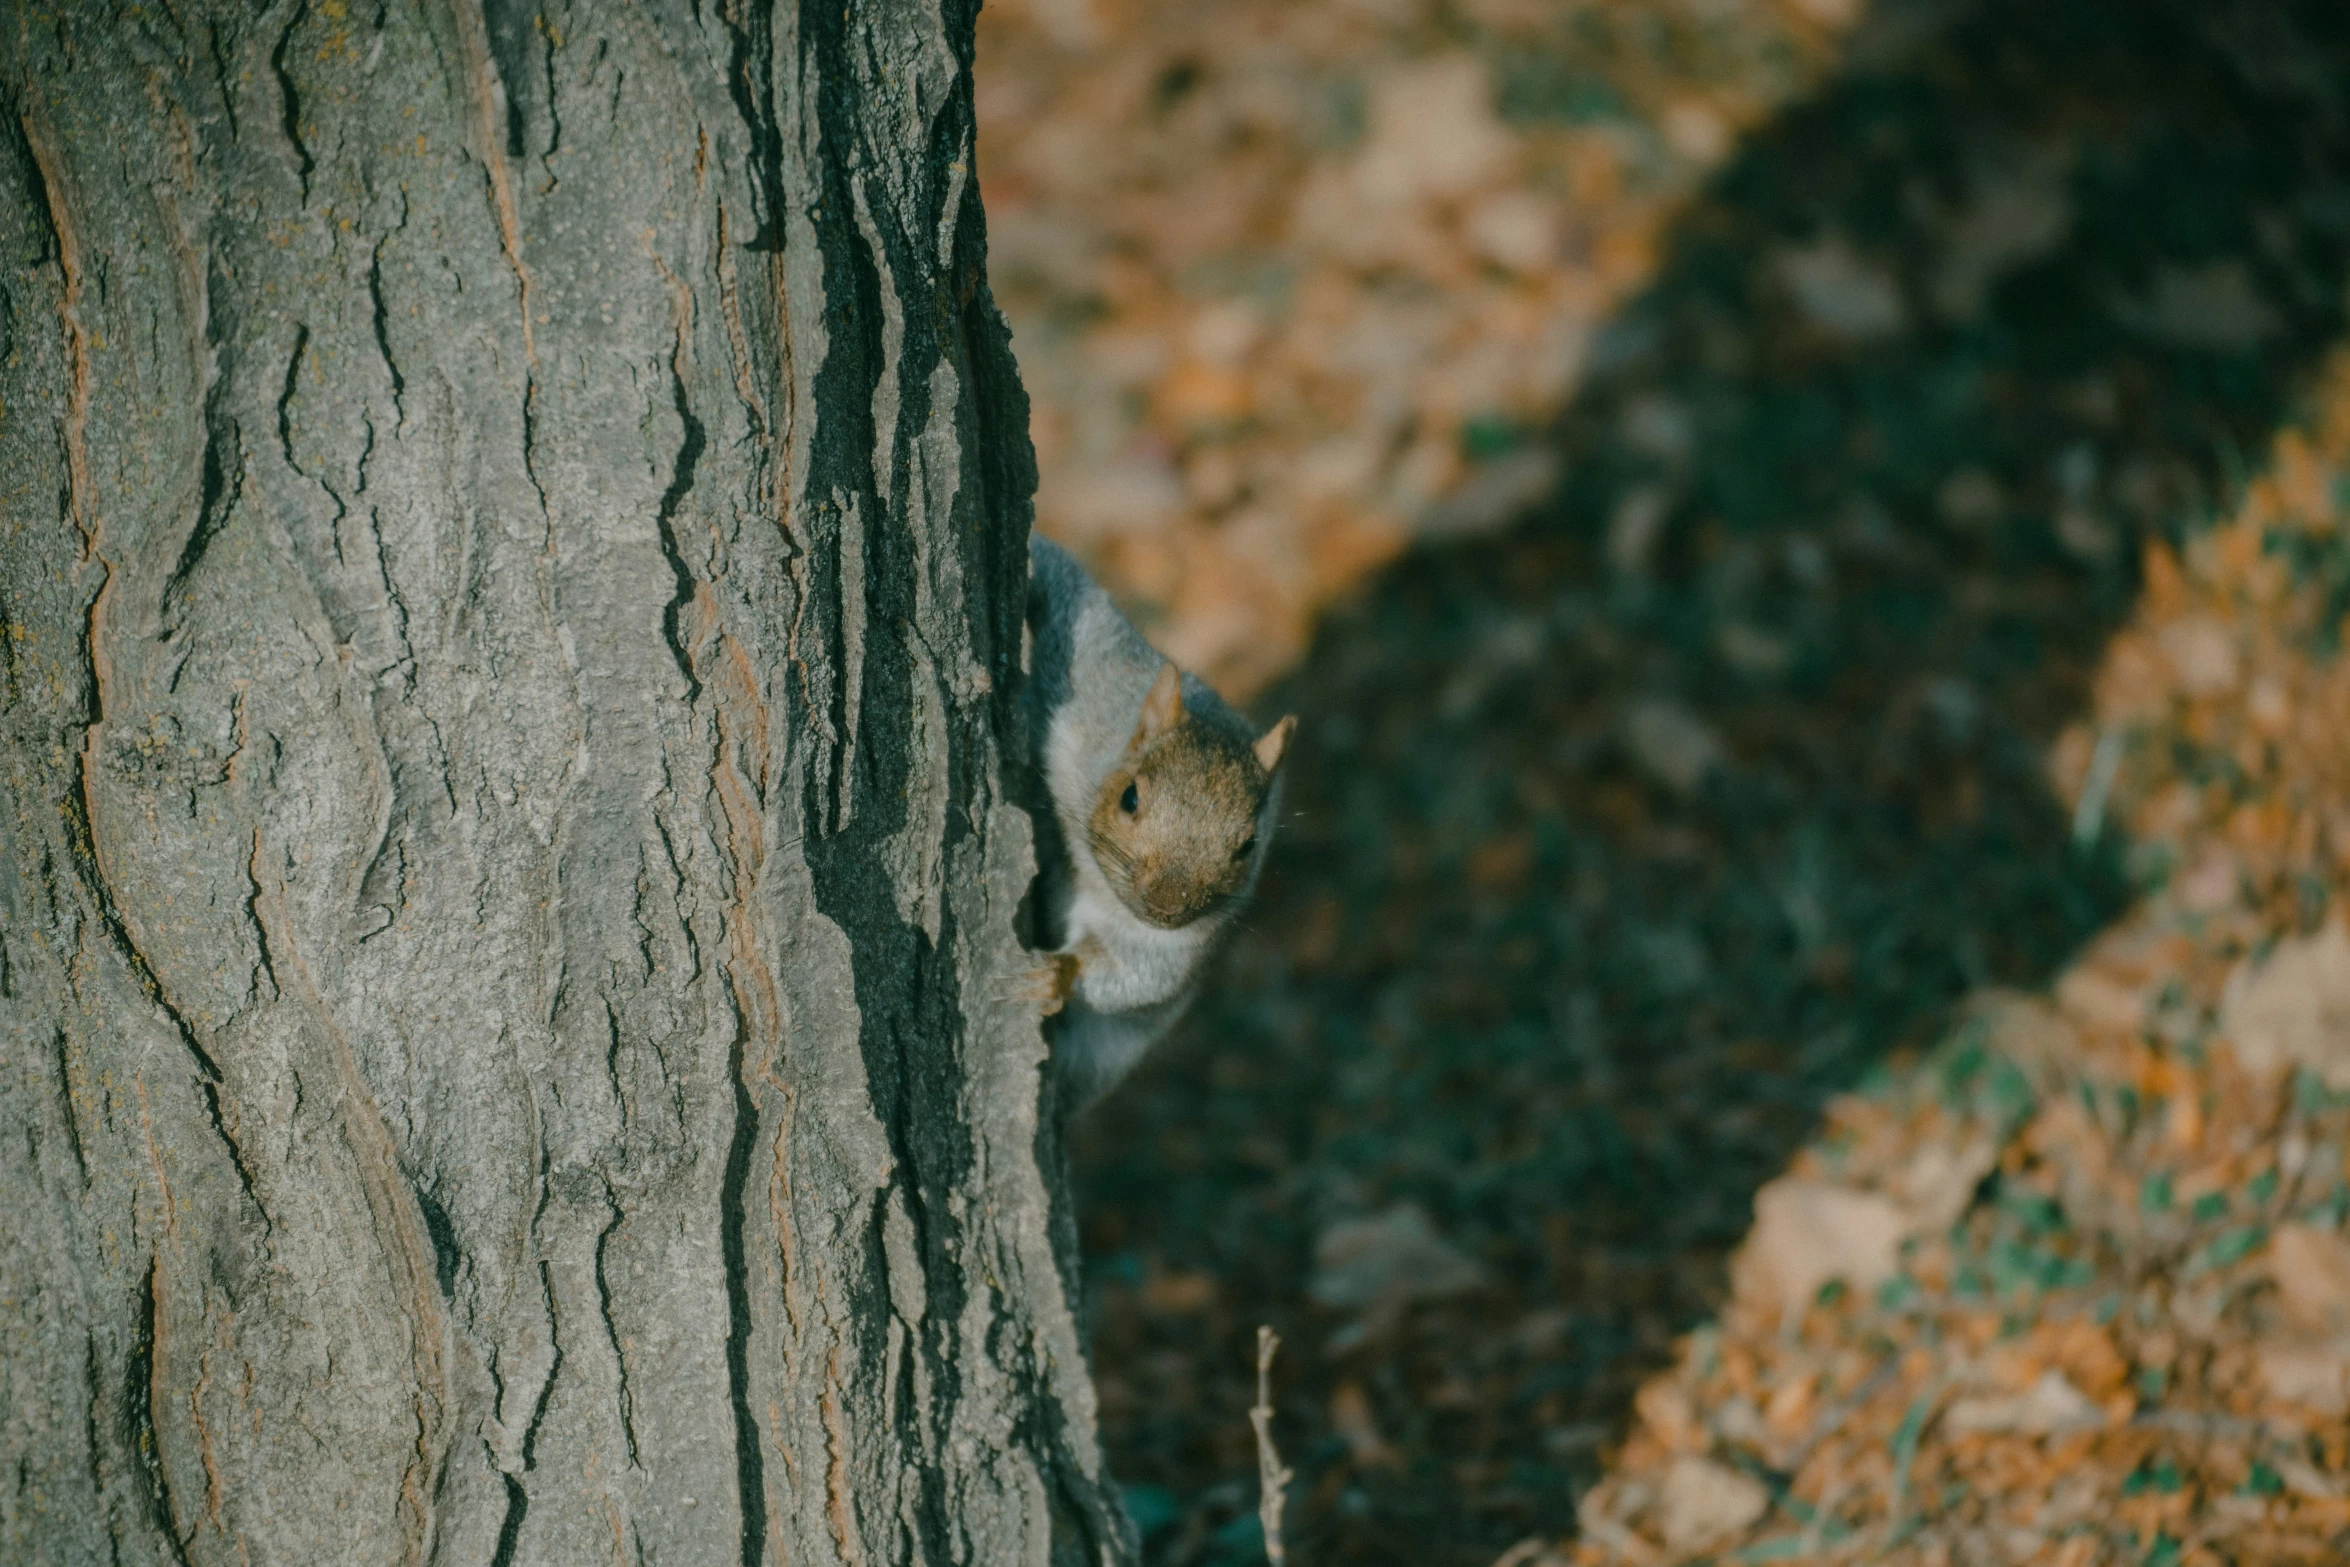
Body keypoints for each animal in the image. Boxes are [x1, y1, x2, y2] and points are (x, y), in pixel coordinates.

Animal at [1019, 540, 1297, 1113]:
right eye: (1130, 798)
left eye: (1248, 845)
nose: (1168, 908)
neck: (1098, 886)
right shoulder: (1093, 693)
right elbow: (1077, 599)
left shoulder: (1179, 947)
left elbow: (1139, 978)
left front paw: (1056, 974)